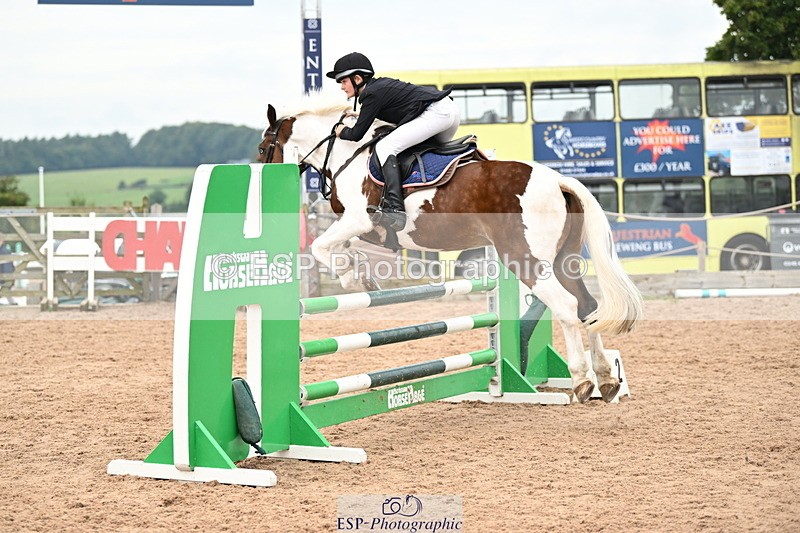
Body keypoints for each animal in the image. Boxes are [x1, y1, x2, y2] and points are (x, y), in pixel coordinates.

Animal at [257, 95, 643, 404]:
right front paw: (362, 274)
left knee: (566, 306)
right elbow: (343, 248)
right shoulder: (366, 230)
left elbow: (321, 246)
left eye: (263, 148)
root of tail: (559, 180)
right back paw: (607, 379)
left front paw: (352, 278)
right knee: (588, 307)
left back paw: (581, 381)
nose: (260, 172)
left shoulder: (358, 219)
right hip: (564, 261)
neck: (346, 155)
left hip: (526, 260)